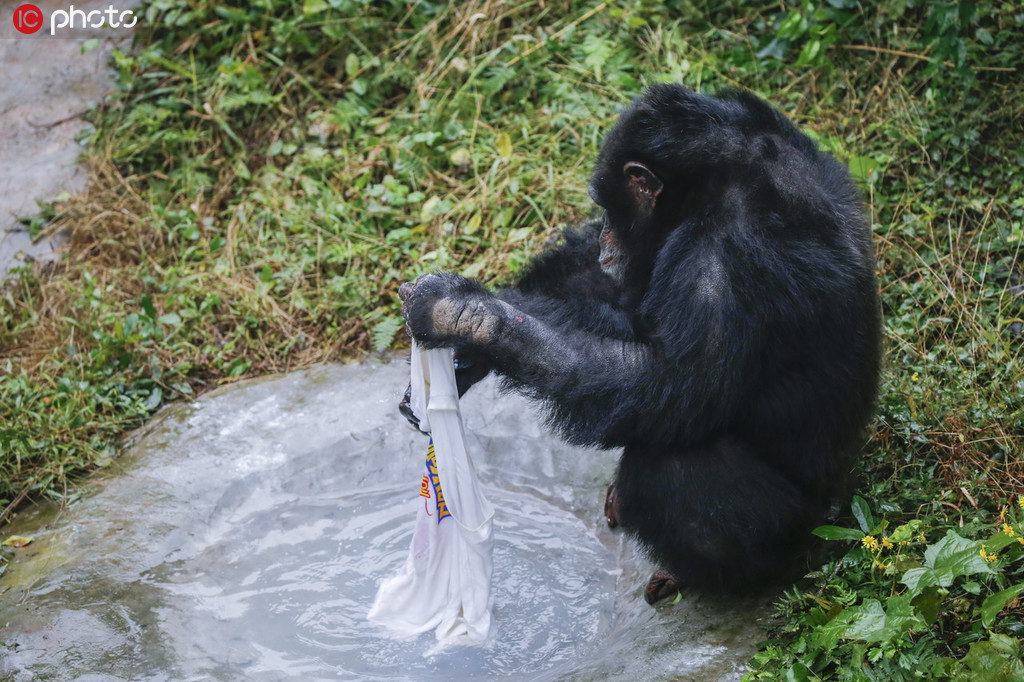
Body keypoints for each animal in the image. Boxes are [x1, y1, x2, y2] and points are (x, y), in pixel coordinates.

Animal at [399, 83, 880, 602]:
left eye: (609, 202)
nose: (606, 234)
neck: (720, 179)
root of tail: (839, 503)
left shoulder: (726, 262)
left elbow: (661, 380)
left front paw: (463, 313)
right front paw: (469, 351)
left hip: (795, 525)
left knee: (671, 468)